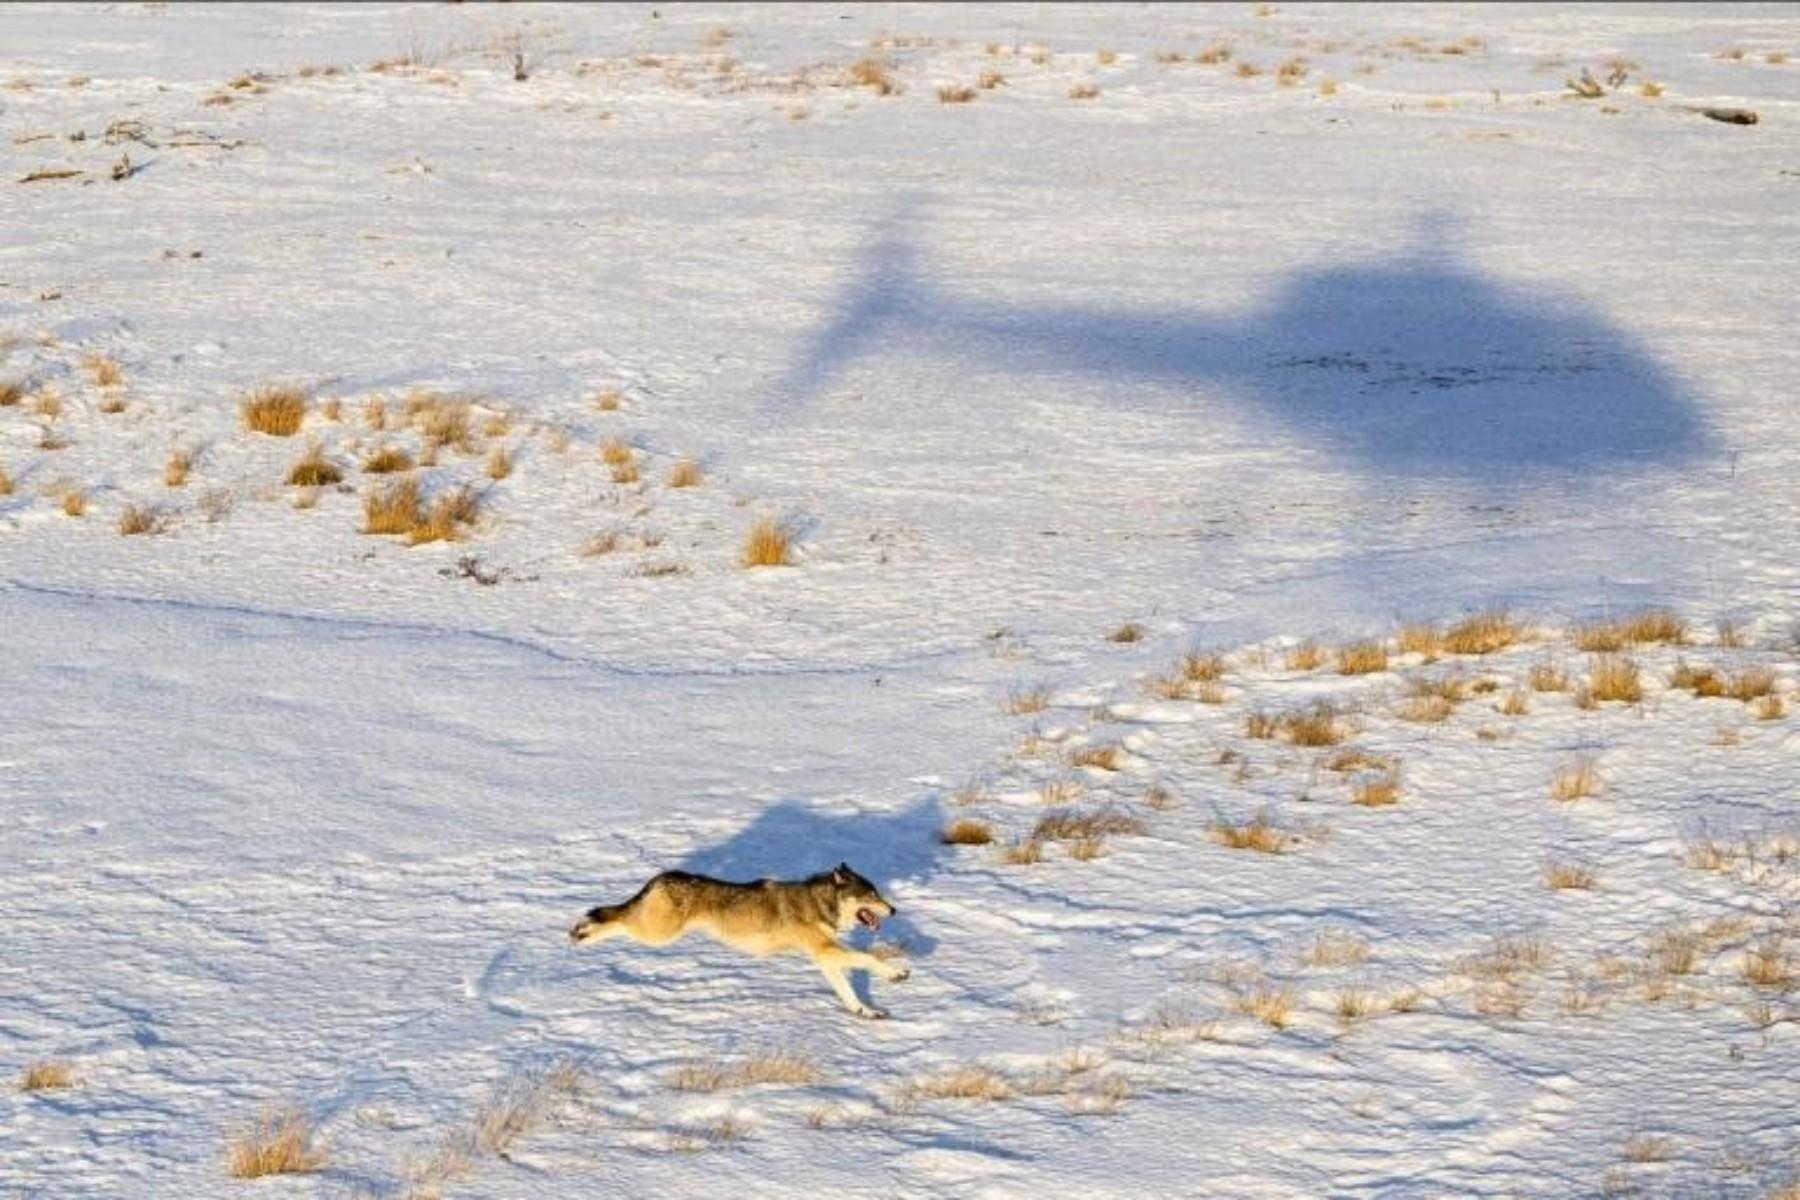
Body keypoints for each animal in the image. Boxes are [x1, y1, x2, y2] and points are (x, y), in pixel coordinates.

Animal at [569, 863, 910, 1018]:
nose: (894, 909)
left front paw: (867, 1012)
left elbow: (848, 992)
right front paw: (898, 973)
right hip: (658, 933)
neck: (820, 902)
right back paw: (581, 934)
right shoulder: (826, 950)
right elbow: (868, 958)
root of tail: (660, 877)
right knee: (616, 919)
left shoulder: (825, 957)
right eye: (871, 894)